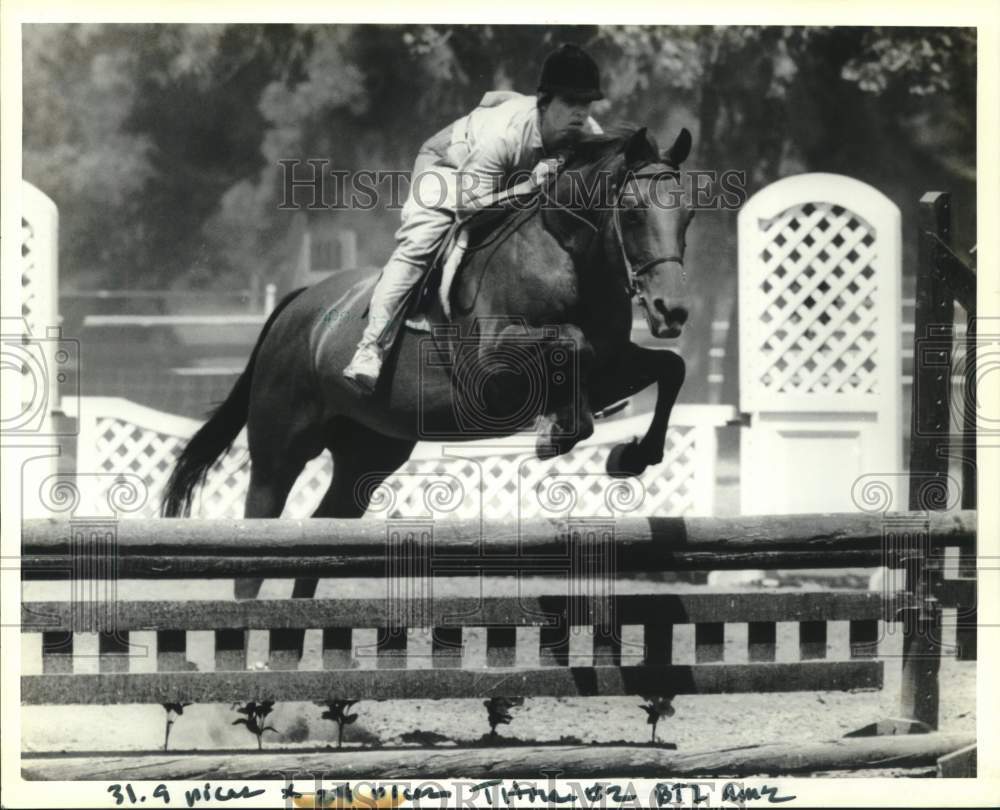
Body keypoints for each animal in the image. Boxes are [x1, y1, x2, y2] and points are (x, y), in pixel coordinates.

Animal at [164, 124, 696, 536]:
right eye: (633, 213)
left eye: (688, 215)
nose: (671, 311)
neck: (565, 256)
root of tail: (298, 304)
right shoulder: (494, 368)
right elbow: (573, 343)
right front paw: (557, 432)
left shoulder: (613, 367)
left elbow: (671, 368)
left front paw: (631, 456)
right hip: (279, 452)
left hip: (370, 451)